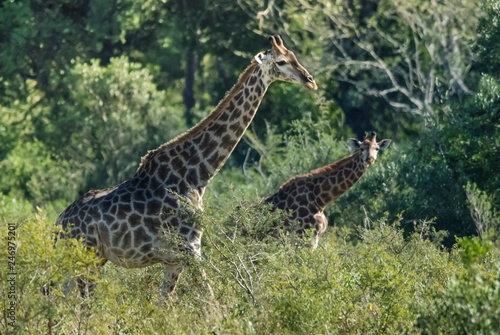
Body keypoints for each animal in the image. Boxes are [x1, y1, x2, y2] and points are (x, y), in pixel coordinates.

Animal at [56, 35, 318, 296]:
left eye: (294, 55)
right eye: (282, 61)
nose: (310, 81)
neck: (198, 175)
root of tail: (59, 223)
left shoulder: (175, 260)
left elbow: (165, 303)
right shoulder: (190, 249)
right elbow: (211, 300)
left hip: (84, 261)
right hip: (87, 257)